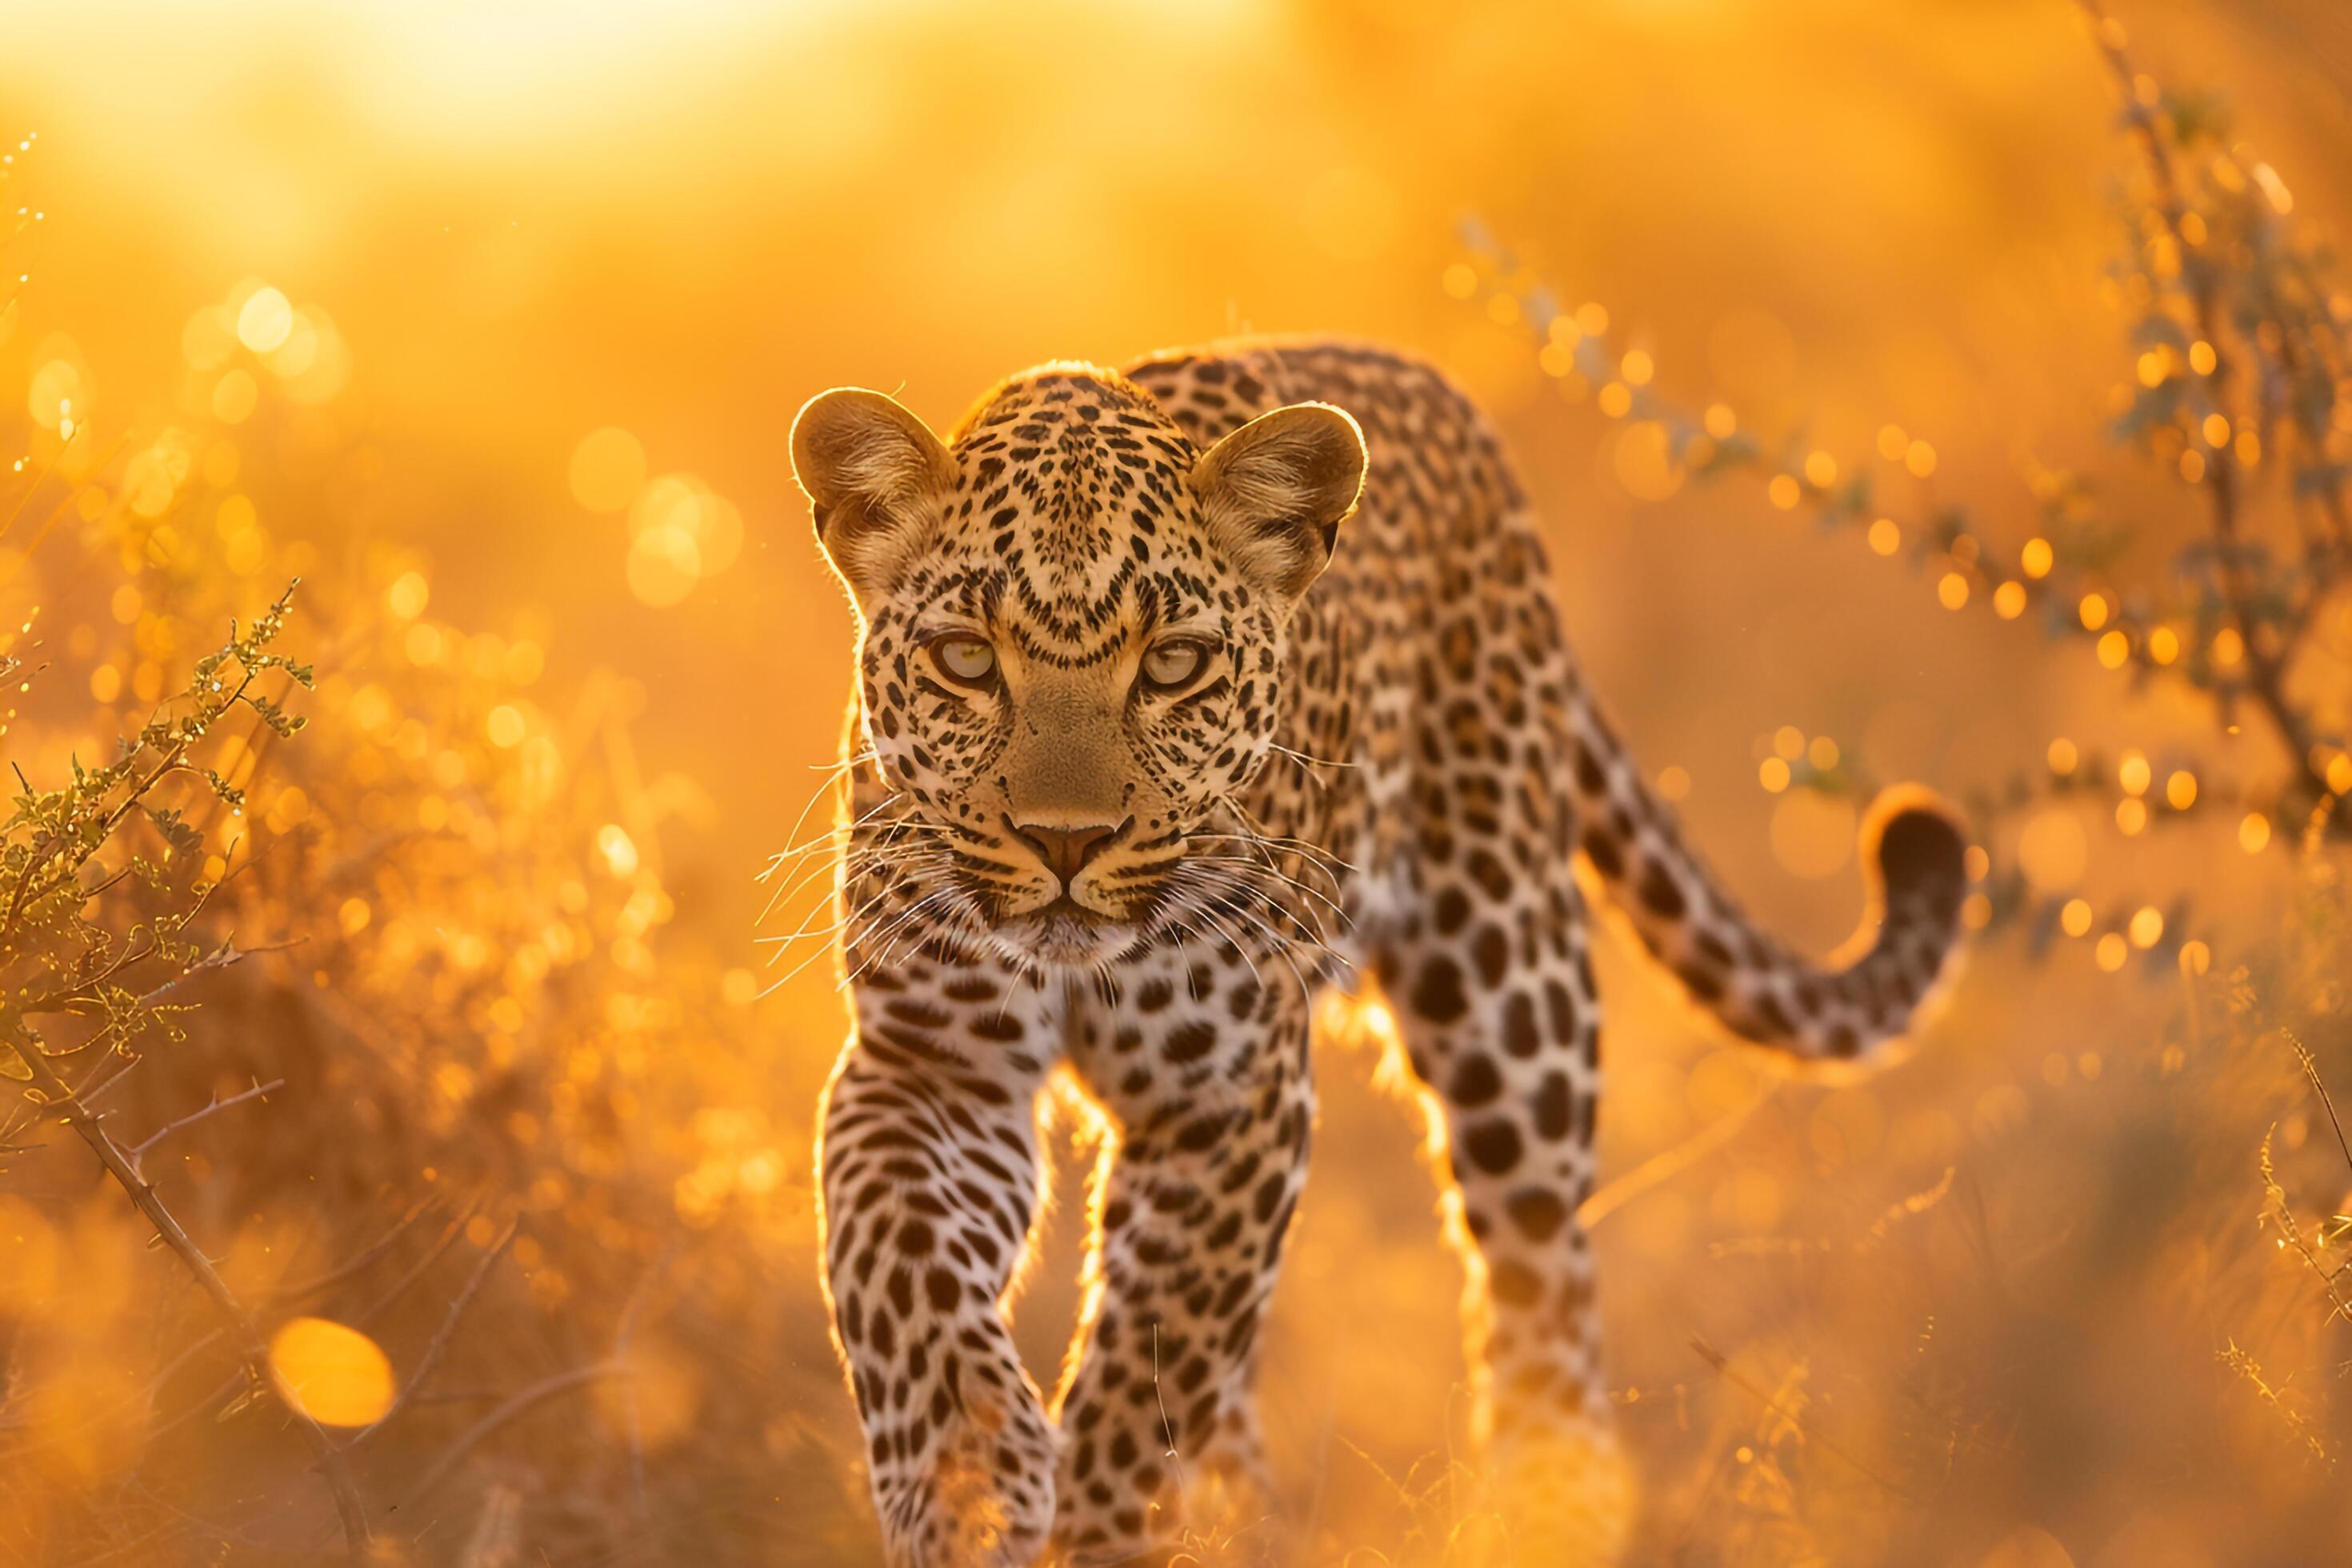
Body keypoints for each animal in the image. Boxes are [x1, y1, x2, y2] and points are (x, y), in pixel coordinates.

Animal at [791, 338, 1968, 1566]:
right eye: (966, 660)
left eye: (1174, 666)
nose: (1066, 841)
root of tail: (1434, 386)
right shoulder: (931, 1066)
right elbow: (898, 1270)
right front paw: (964, 1488)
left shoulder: (1230, 1098)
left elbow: (1148, 1368)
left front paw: (1095, 1528)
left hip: (1514, 999)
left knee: (1543, 1283)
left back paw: (1547, 1509)